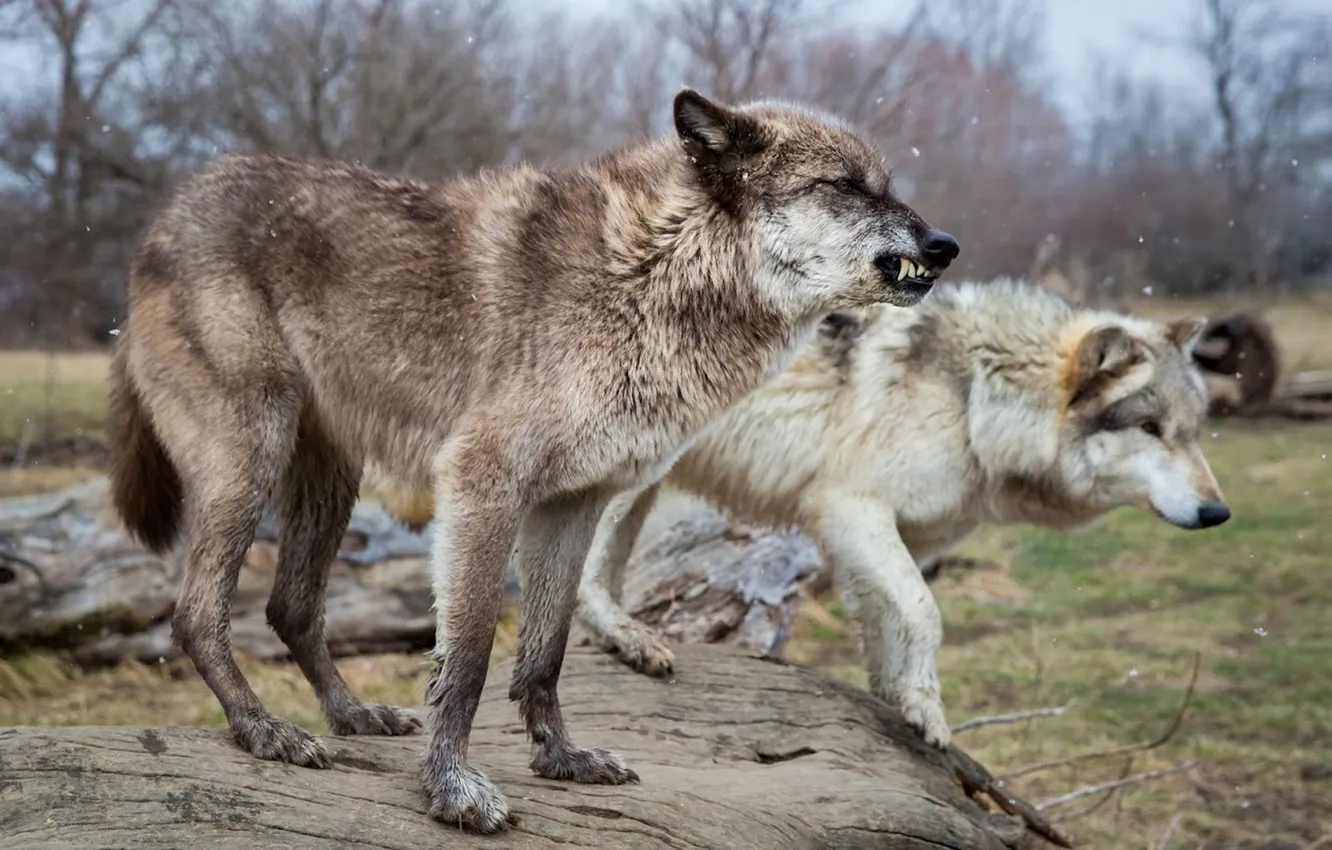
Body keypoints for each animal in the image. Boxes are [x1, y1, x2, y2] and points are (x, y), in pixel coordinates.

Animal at [105, 89, 960, 833]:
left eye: (887, 185)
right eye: (844, 186)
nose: (945, 245)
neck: (654, 270)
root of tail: (164, 216)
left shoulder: (573, 505)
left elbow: (544, 653)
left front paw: (563, 759)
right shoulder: (482, 487)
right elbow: (470, 659)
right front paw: (453, 789)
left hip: (329, 479)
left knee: (290, 608)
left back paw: (351, 715)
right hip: (250, 459)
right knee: (197, 615)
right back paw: (261, 729)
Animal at [385, 277, 1229, 752]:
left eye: (1196, 430)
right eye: (1152, 428)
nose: (1218, 511)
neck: (977, 395)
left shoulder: (884, 536)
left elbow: (887, 627)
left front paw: (900, 710)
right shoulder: (852, 508)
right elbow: (926, 614)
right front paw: (929, 714)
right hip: (627, 471)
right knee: (580, 577)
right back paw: (631, 641)